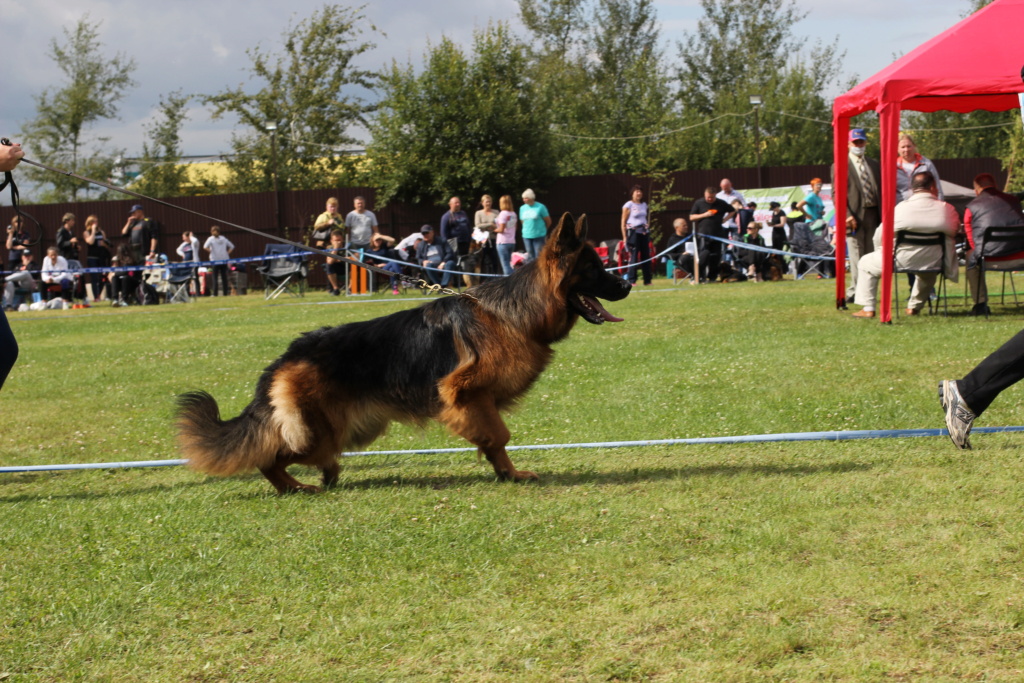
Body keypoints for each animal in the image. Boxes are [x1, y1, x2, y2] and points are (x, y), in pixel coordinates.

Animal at [177, 214, 626, 491]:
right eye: (594, 269)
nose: (626, 285)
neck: (514, 314)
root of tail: (286, 356)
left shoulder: (479, 400)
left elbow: (494, 440)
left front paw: (504, 472)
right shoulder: (466, 393)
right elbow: (499, 435)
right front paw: (510, 473)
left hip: (347, 429)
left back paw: (321, 479)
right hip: (320, 433)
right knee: (270, 458)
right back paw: (297, 488)